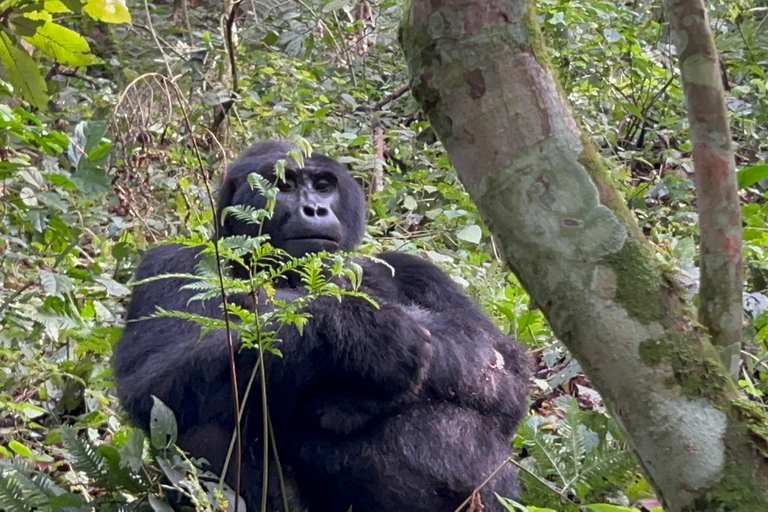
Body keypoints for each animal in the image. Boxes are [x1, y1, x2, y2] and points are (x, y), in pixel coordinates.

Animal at [114, 141, 532, 512]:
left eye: (323, 185)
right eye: (283, 186)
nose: (314, 208)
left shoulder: (414, 268)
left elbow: (503, 369)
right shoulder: (167, 260)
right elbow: (150, 380)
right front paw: (364, 335)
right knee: (202, 417)